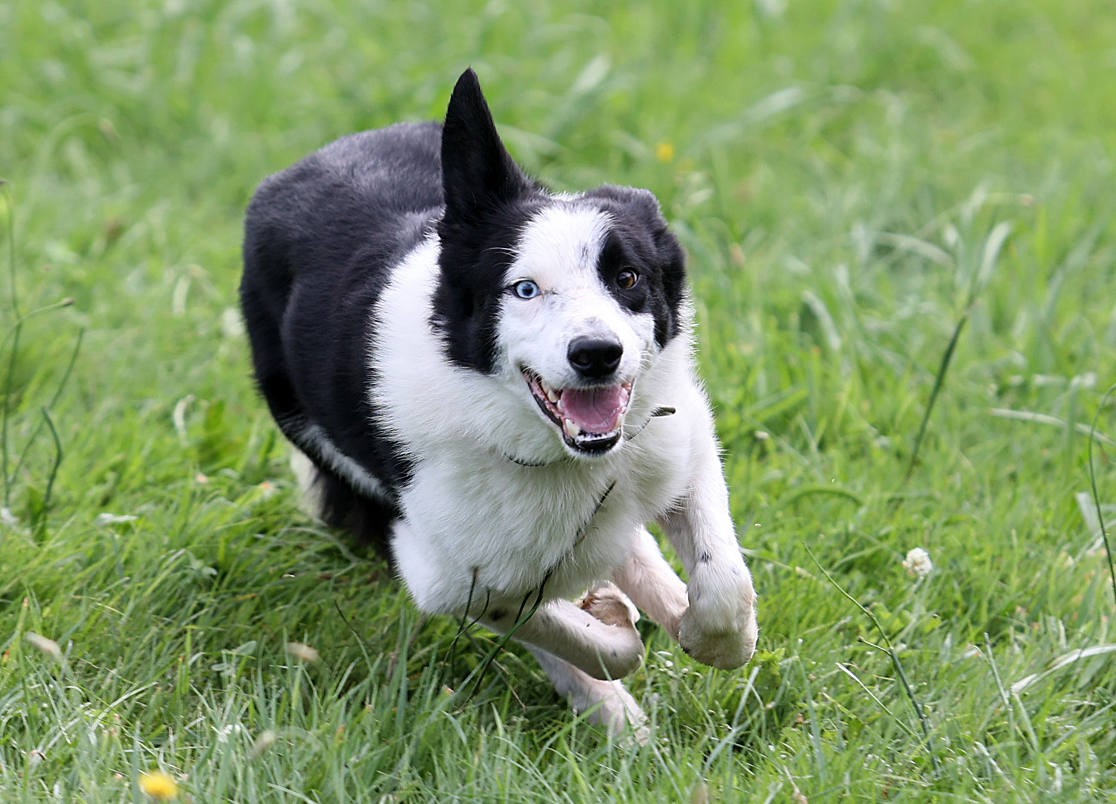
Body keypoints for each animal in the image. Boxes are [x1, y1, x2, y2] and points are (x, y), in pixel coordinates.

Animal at [238, 70, 754, 737]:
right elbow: (584, 638)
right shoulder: (450, 576)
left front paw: (705, 635)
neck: (552, 451)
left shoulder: (678, 441)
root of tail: (291, 174)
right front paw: (612, 641)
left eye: (629, 278)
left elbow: (724, 585)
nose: (597, 354)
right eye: (524, 290)